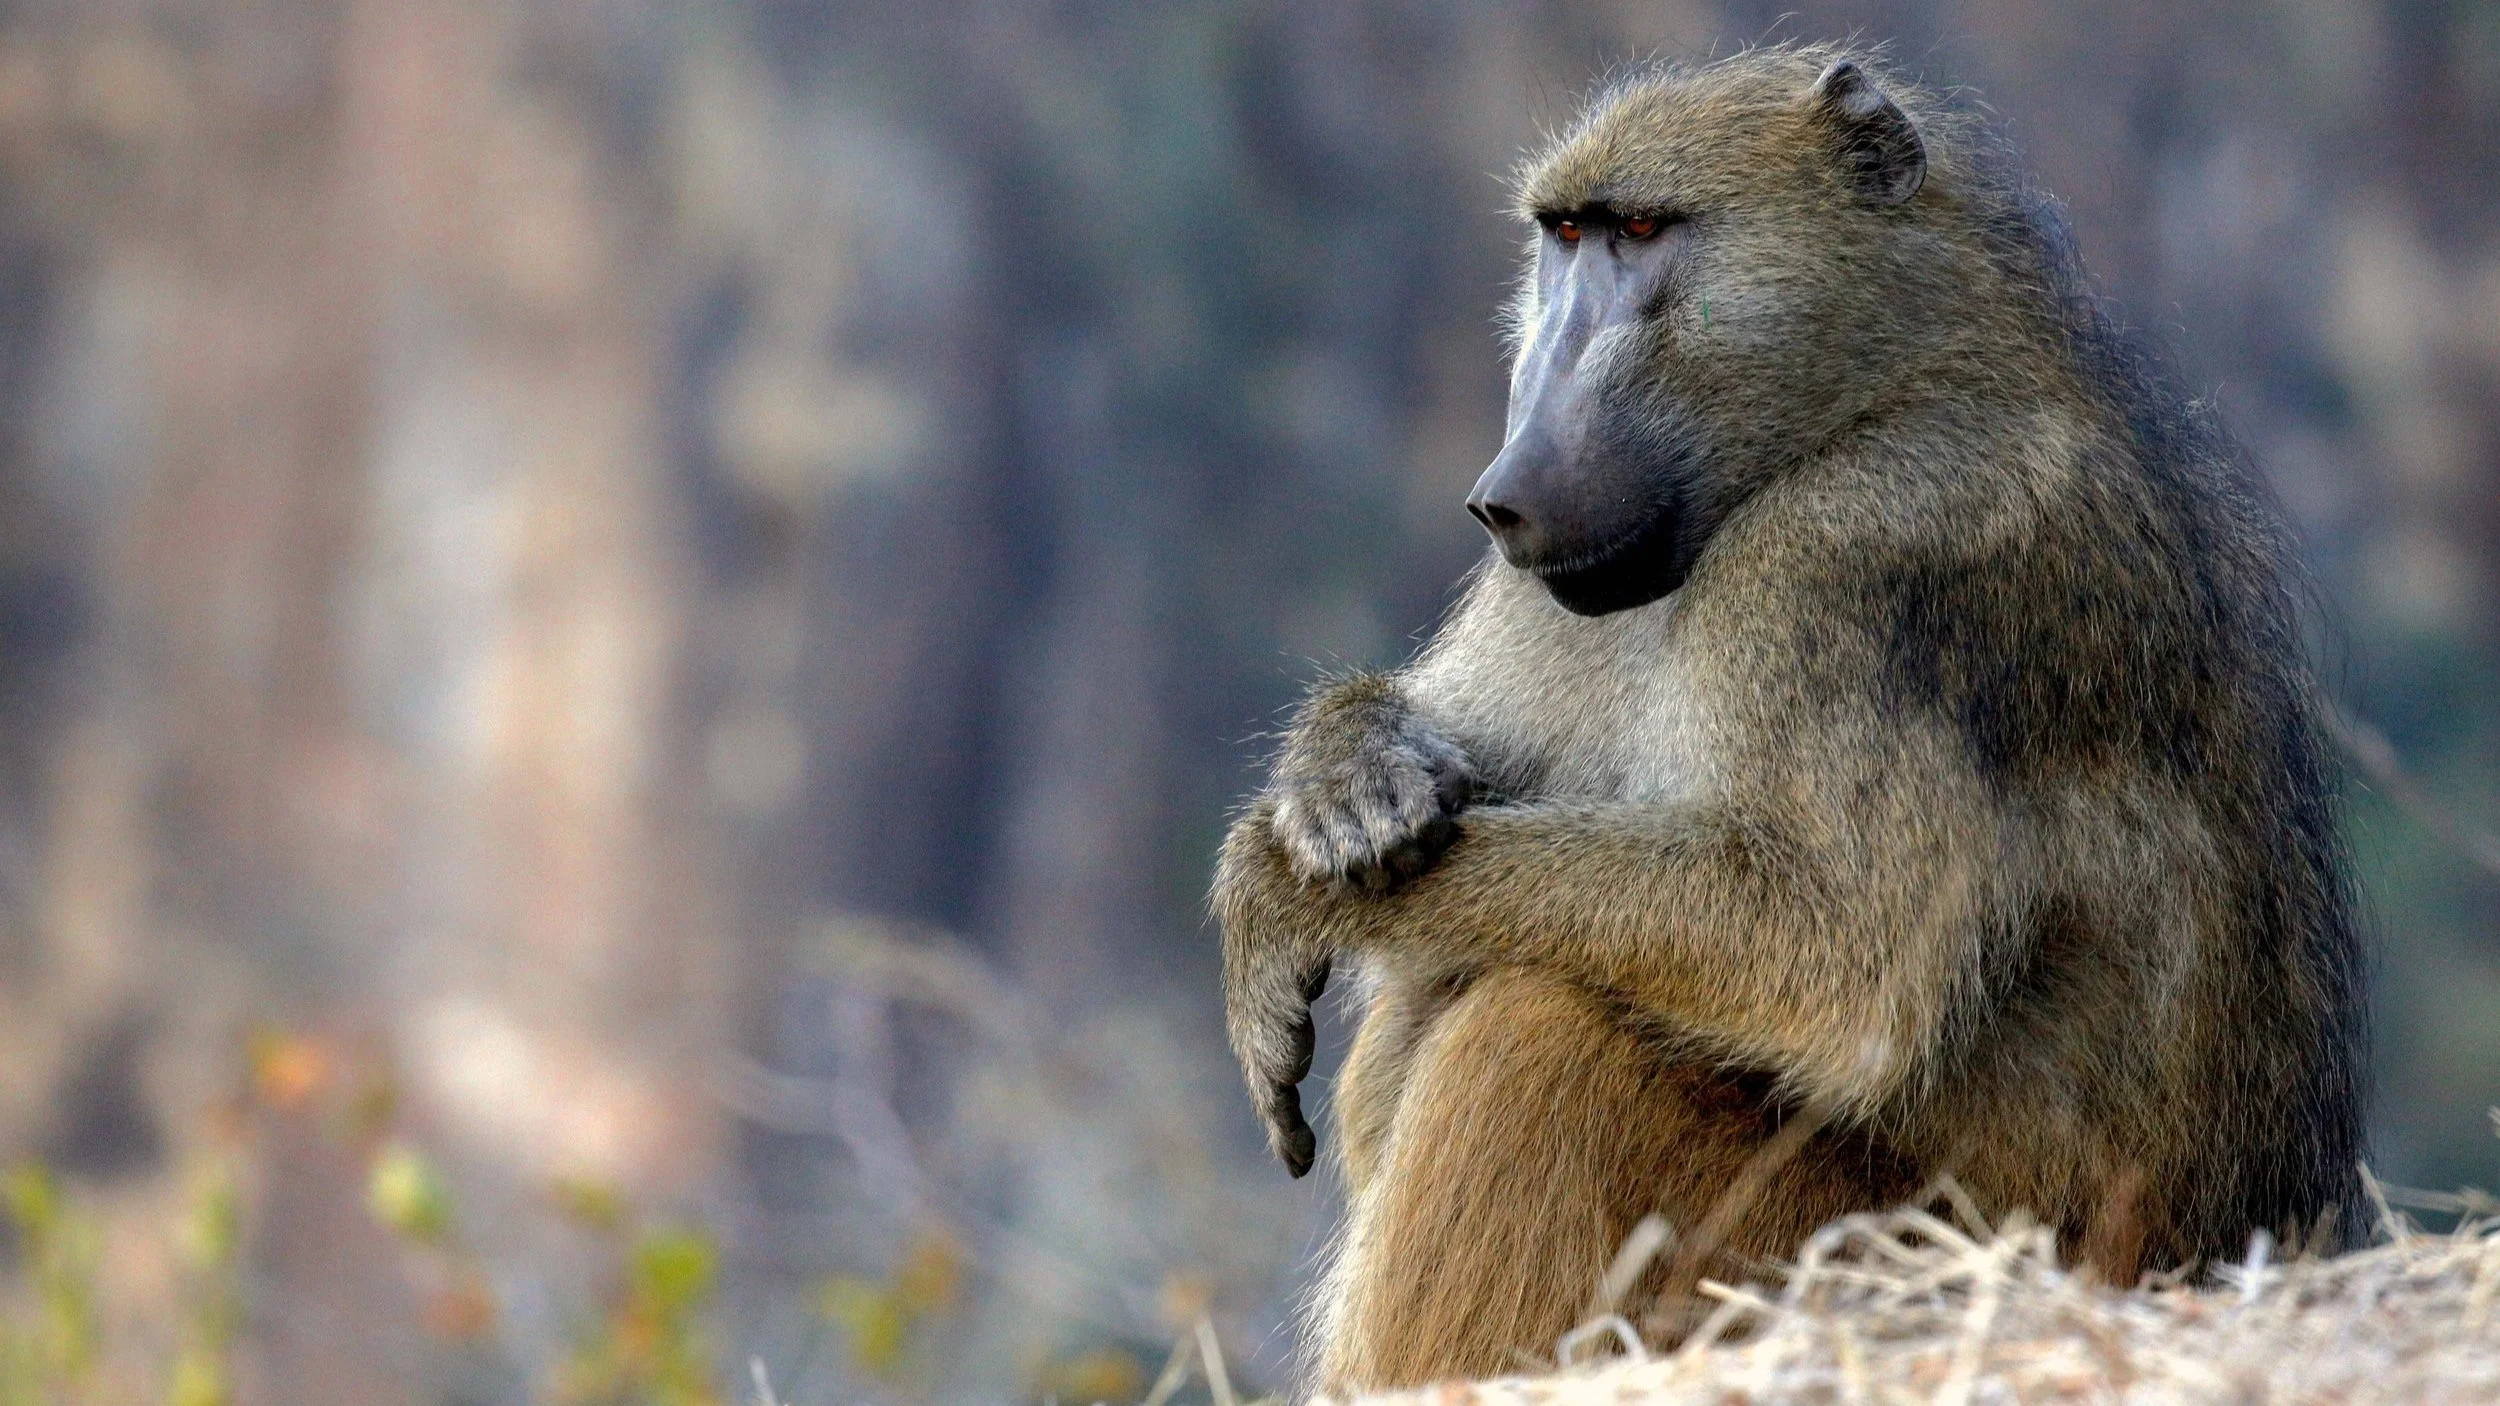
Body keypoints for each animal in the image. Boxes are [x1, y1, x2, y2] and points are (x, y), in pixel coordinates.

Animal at [1211, 45, 2367, 1395]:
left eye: (1642, 231)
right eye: (1564, 238)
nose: (1505, 491)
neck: (1875, 395)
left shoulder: (1857, 552)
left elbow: (1831, 951)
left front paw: (1276, 891)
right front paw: (1341, 772)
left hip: (1876, 1247)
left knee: (1543, 1026)